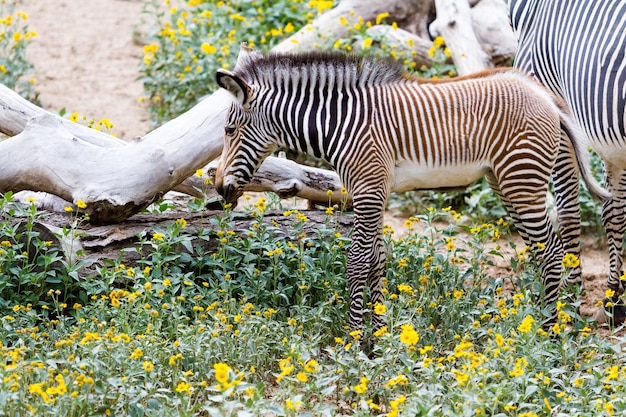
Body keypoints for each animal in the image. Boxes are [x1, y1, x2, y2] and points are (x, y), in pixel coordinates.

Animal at [212, 51, 608, 332]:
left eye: (229, 130)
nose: (219, 189)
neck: (341, 124)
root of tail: (546, 96)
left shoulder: (368, 189)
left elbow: (357, 262)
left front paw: (352, 340)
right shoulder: (375, 190)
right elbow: (377, 260)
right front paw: (378, 336)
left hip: (522, 180)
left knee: (553, 252)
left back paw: (548, 333)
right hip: (507, 181)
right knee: (543, 251)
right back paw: (540, 324)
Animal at [508, 0, 624, 320]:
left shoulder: (551, 109)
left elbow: (569, 212)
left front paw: (572, 294)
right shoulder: (612, 143)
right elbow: (614, 213)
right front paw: (615, 296)